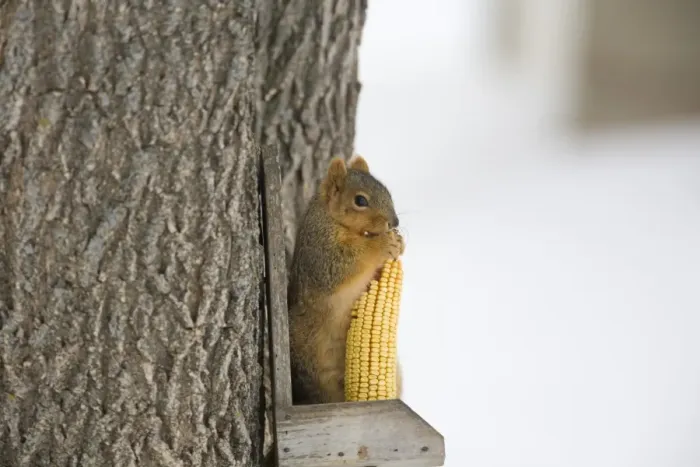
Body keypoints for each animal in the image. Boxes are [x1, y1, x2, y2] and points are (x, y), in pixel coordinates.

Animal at [287, 155, 405, 404]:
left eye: (387, 191)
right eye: (360, 200)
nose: (395, 222)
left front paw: (399, 243)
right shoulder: (321, 252)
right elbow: (346, 265)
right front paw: (384, 244)